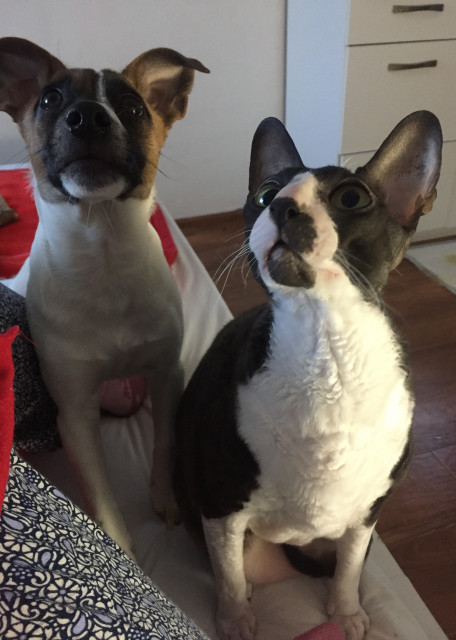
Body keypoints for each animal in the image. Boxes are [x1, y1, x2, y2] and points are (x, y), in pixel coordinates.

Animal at [0, 37, 208, 556]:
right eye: (50, 99)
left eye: (132, 106)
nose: (87, 117)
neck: (104, 253)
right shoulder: (75, 414)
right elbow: (102, 499)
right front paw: (124, 549)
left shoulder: (166, 374)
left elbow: (164, 442)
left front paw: (164, 497)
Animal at [174, 111, 442, 640]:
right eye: (264, 193)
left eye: (351, 198)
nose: (280, 206)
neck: (326, 344)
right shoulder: (221, 505)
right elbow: (229, 574)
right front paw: (235, 620)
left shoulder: (367, 515)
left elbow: (350, 567)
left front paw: (346, 613)